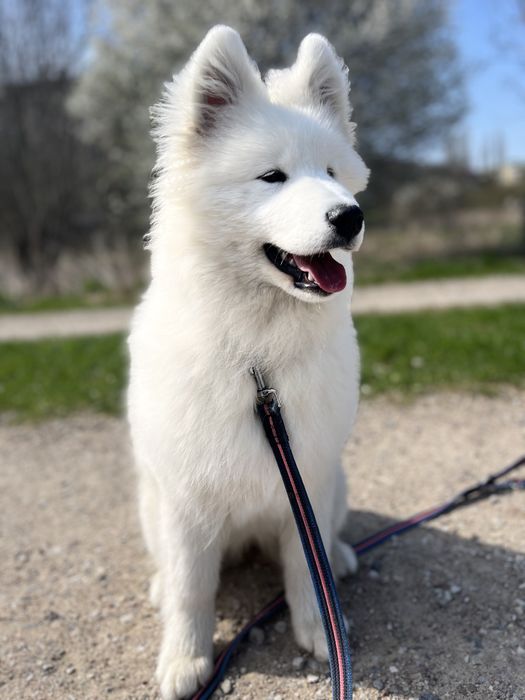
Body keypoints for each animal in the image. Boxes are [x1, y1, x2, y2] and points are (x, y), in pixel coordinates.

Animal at [128, 24, 368, 696]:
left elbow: (307, 568)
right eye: (272, 177)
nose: (350, 216)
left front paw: (322, 631)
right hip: (150, 504)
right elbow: (192, 590)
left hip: (336, 481)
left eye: (332, 172)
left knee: (331, 535)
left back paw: (343, 558)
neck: (259, 360)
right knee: (170, 570)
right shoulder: (186, 499)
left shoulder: (307, 479)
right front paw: (184, 660)